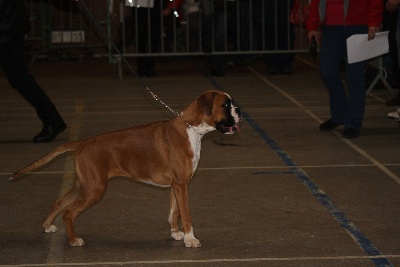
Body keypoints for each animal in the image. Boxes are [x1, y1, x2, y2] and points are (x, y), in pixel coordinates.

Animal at [9, 90, 241, 249]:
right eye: (226, 104)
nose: (238, 111)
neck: (190, 128)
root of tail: (83, 143)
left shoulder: (177, 185)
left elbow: (174, 211)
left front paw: (176, 234)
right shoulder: (182, 185)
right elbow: (186, 214)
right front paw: (190, 239)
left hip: (83, 185)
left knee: (59, 202)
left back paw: (48, 226)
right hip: (94, 189)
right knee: (68, 212)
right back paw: (74, 240)